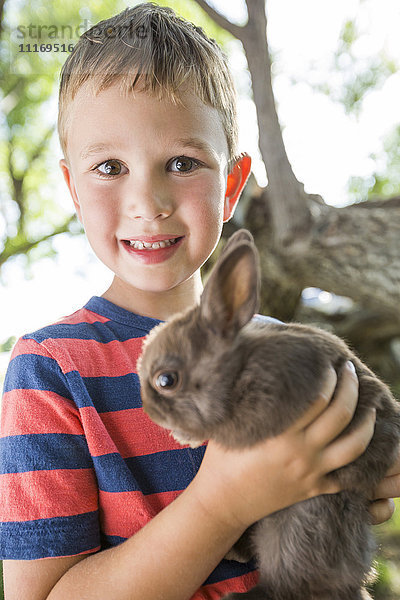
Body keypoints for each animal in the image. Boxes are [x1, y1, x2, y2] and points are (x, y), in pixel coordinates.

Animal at [138, 229, 400, 600]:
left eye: (166, 380)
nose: (149, 411)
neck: (238, 367)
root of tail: (355, 581)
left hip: (300, 526)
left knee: (289, 584)